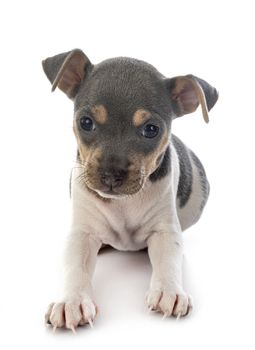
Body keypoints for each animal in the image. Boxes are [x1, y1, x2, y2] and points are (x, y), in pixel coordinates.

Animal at [41, 49, 217, 330]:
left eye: (151, 130)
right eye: (85, 122)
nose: (111, 175)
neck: (124, 202)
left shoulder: (164, 231)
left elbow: (168, 259)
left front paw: (169, 290)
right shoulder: (81, 234)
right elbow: (75, 266)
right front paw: (72, 301)